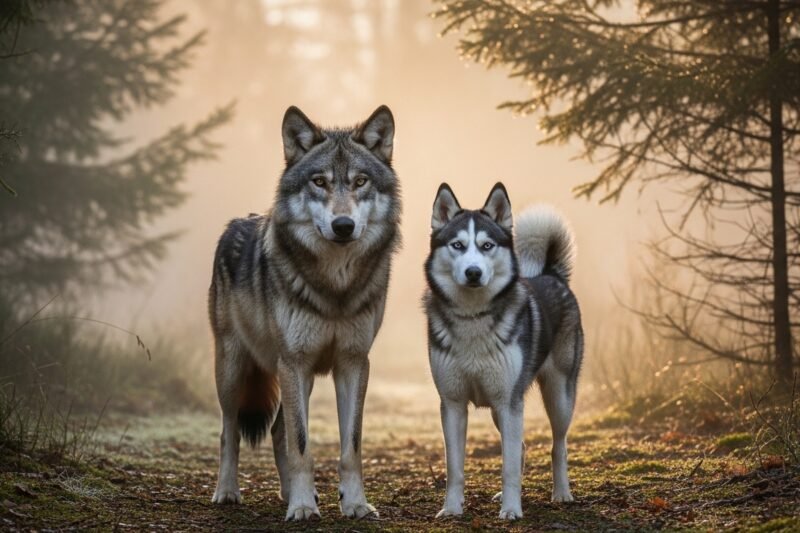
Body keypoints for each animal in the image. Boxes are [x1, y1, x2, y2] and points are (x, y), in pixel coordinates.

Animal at [209, 105, 400, 521]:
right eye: (319, 182)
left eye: (360, 181)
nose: (343, 225)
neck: (335, 287)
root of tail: (237, 221)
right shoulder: (295, 362)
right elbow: (301, 445)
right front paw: (302, 507)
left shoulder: (352, 363)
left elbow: (350, 447)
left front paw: (354, 504)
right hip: (234, 370)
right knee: (230, 430)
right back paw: (228, 491)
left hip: (299, 377)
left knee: (278, 430)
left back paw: (289, 494)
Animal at [424, 182, 583, 520]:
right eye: (457, 245)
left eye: (487, 246)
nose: (473, 272)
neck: (473, 318)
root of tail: (552, 274)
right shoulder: (453, 403)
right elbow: (455, 467)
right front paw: (451, 508)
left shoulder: (509, 402)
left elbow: (508, 466)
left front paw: (511, 510)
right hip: (502, 409)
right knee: (520, 446)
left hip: (557, 397)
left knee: (558, 445)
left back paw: (562, 493)